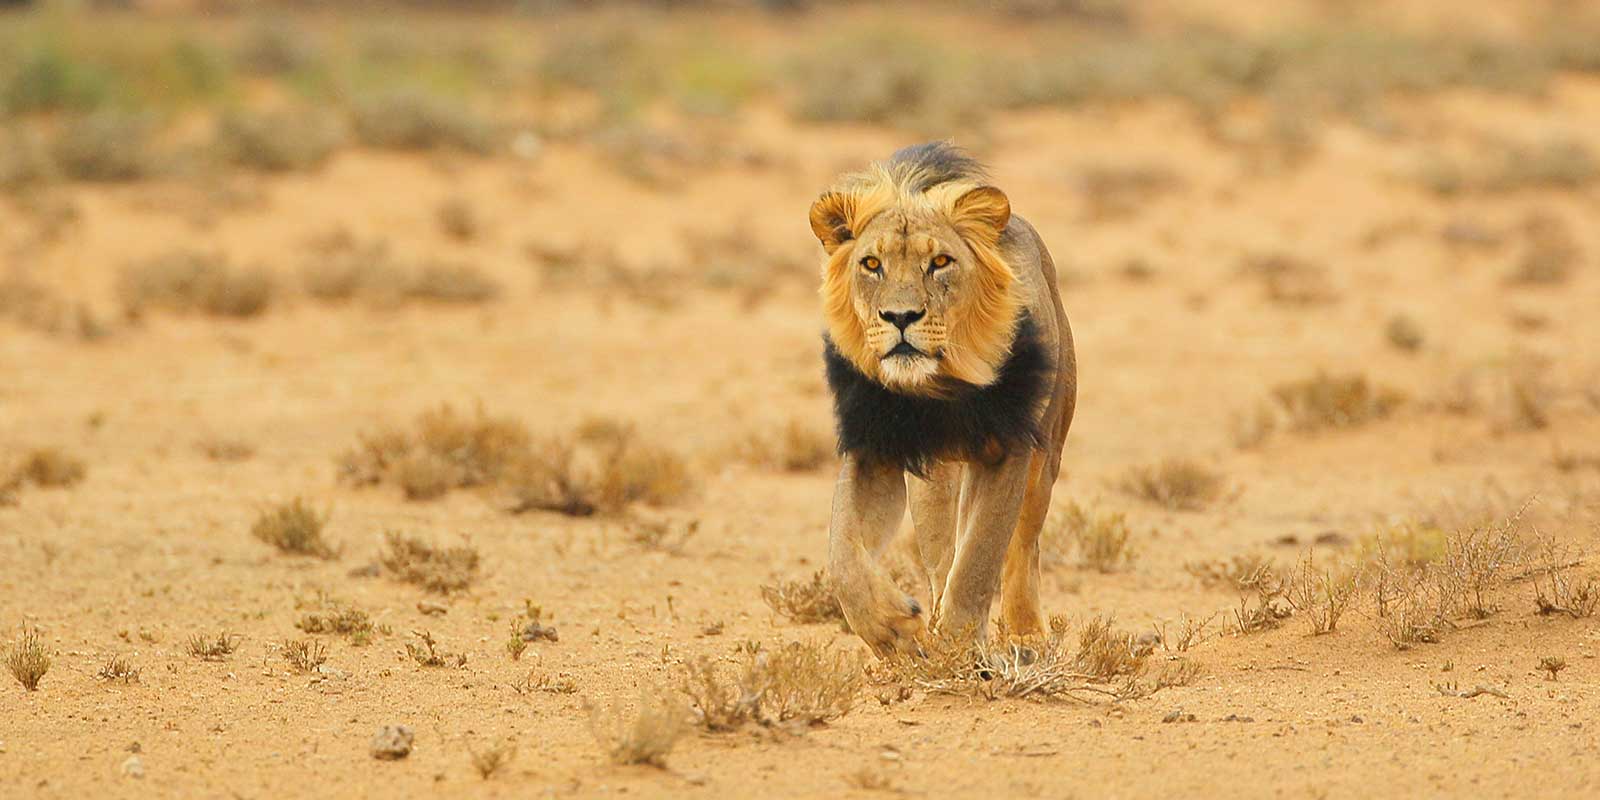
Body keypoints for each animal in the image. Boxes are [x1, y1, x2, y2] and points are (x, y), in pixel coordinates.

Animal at [808, 142, 1076, 655]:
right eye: (871, 265)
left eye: (940, 263)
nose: (900, 316)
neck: (938, 386)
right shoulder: (874, 449)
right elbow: (843, 555)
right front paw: (895, 631)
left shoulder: (1009, 448)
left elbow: (980, 558)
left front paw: (958, 647)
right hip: (933, 481)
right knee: (940, 558)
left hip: (1046, 454)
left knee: (1021, 545)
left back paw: (1024, 631)